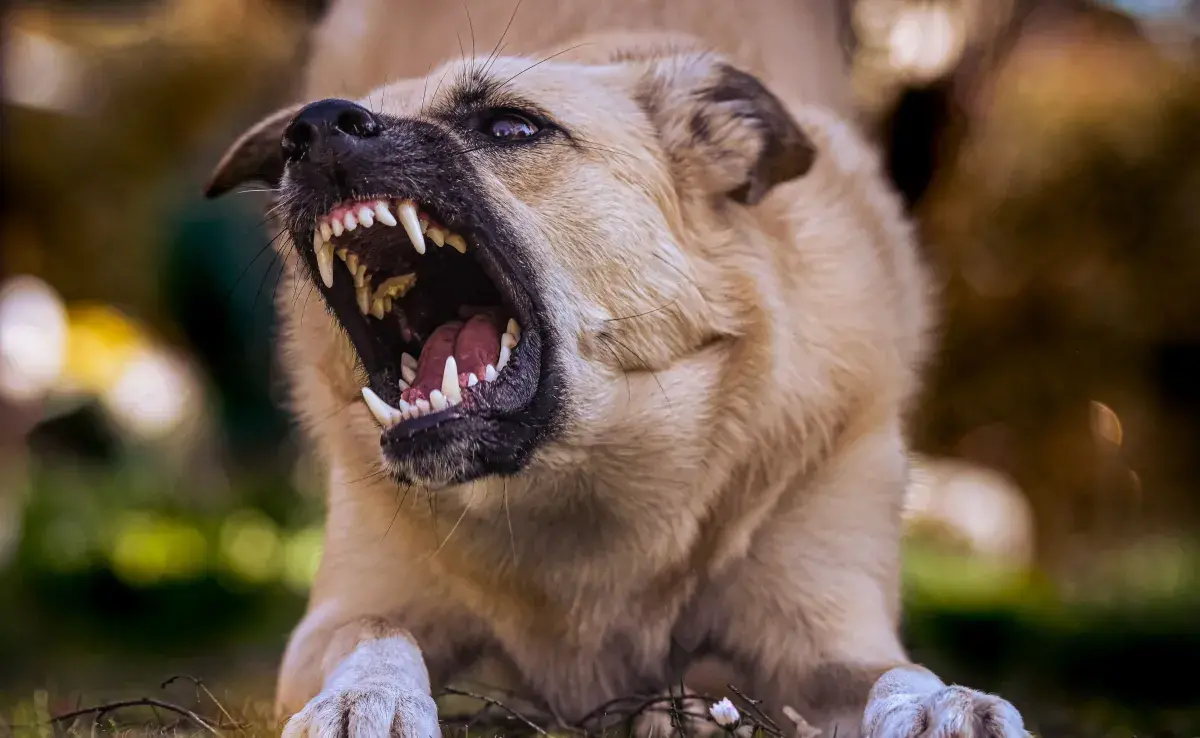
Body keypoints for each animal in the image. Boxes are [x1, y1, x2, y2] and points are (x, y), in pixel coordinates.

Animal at [206, 17, 1032, 738]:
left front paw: (942, 703)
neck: (579, 490)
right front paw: (365, 698)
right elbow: (378, 632)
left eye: (511, 127)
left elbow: (894, 671)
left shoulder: (825, 637)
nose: (311, 129)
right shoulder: (341, 614)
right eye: (298, 140)